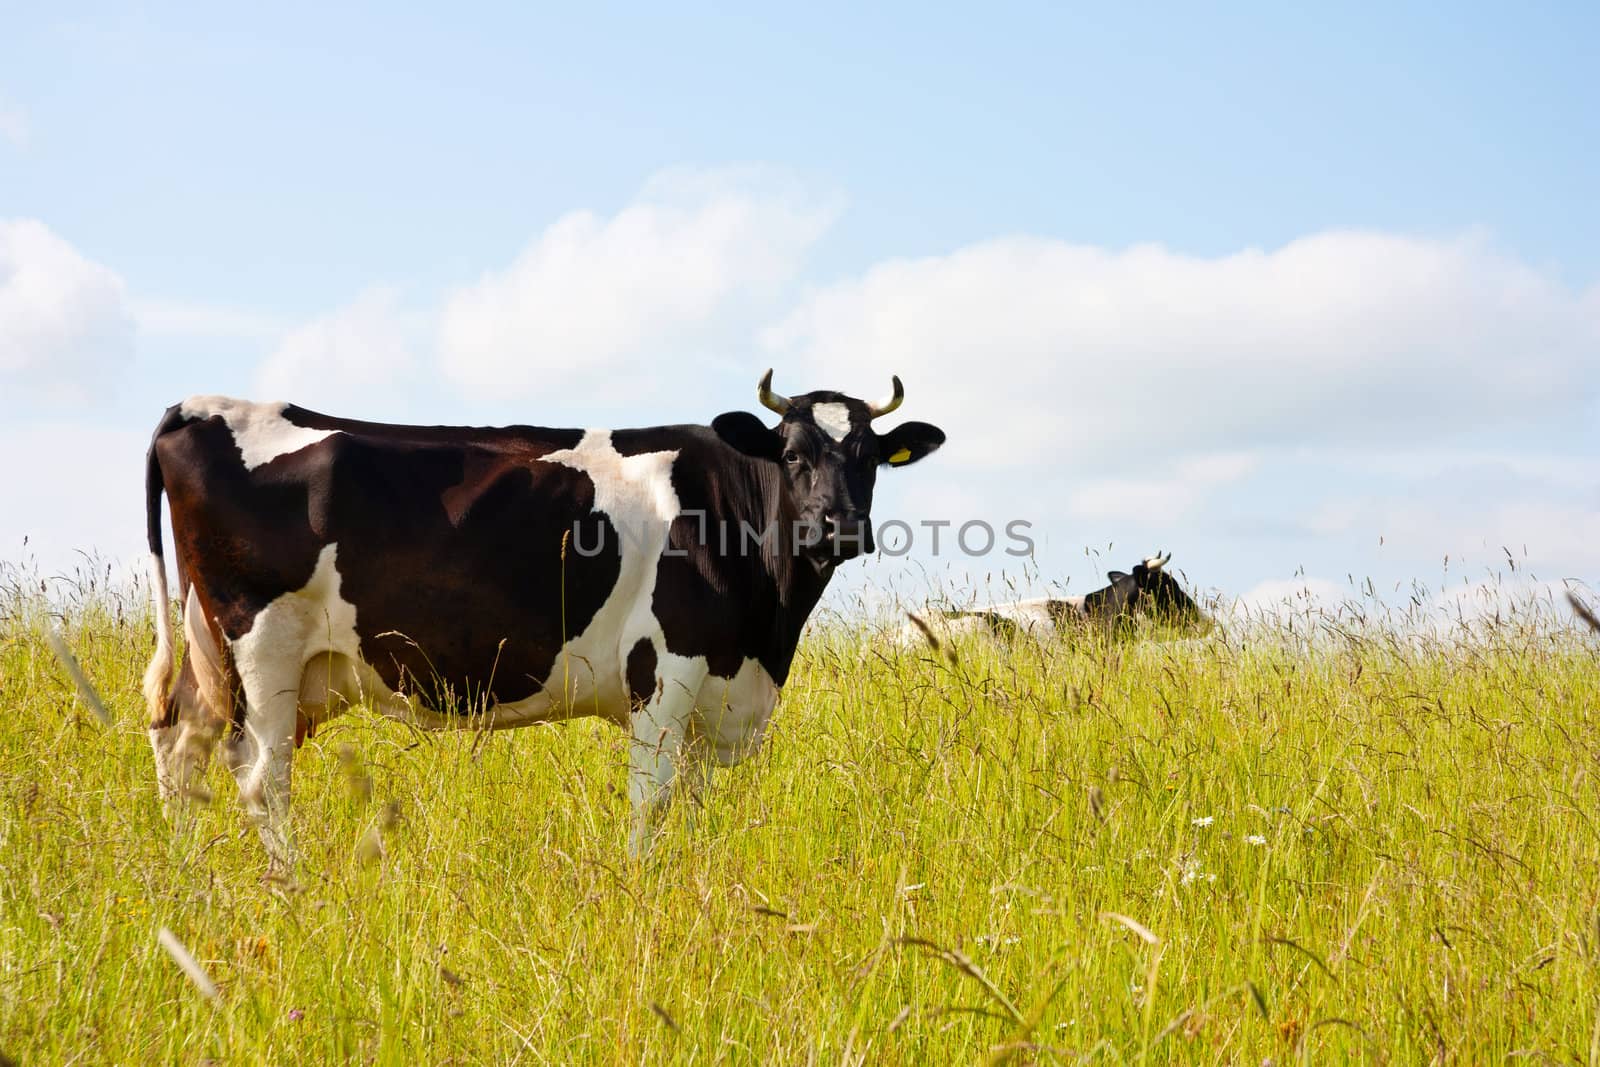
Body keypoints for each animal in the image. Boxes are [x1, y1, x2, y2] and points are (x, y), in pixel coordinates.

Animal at [144, 371, 940, 863]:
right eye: (795, 454)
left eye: (869, 457)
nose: (840, 526)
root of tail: (199, 406)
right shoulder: (665, 672)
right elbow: (650, 802)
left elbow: (692, 805)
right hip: (262, 648)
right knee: (260, 778)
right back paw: (294, 886)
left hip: (212, 649)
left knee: (181, 743)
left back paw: (185, 873)